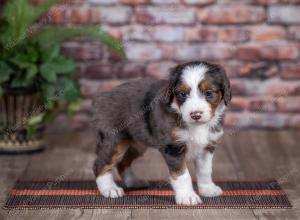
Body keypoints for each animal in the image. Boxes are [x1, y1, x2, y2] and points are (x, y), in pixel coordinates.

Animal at [91, 60, 232, 205]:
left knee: (123, 162)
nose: (195, 115)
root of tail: (101, 95)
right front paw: (187, 196)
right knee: (100, 164)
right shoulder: (173, 147)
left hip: (138, 144)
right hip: (114, 140)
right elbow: (182, 174)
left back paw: (134, 181)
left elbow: (205, 170)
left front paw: (208, 189)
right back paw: (109, 189)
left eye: (209, 93)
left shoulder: (207, 146)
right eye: (182, 94)